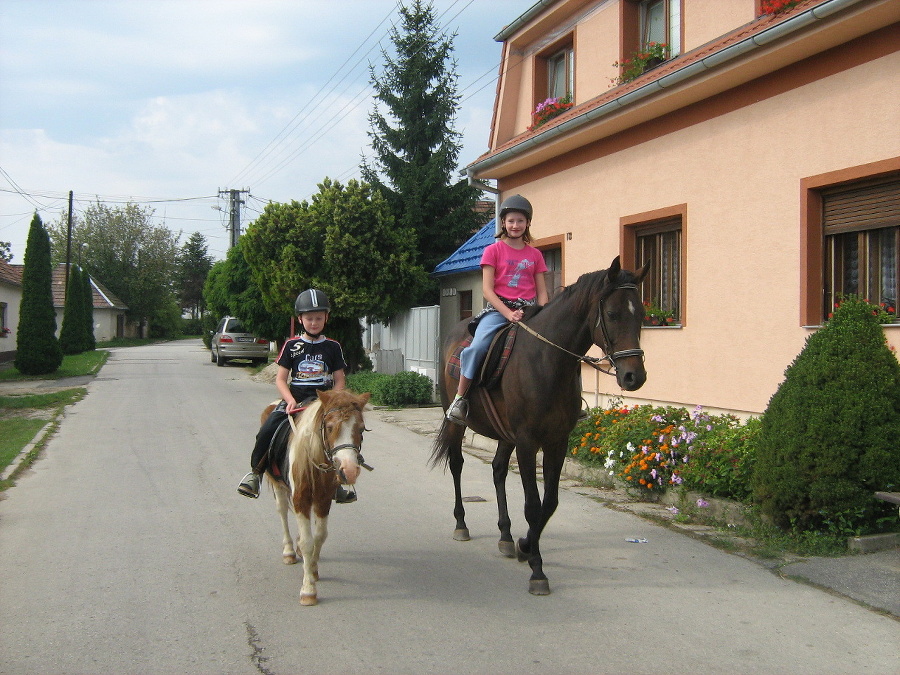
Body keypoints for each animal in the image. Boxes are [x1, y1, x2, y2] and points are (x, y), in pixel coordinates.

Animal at [430, 258, 648, 596]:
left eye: (641, 314)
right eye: (612, 314)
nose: (634, 376)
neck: (547, 361)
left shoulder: (557, 441)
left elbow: (550, 503)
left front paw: (524, 545)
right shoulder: (528, 441)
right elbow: (533, 504)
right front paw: (537, 569)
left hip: (505, 433)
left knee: (498, 469)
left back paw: (506, 537)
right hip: (456, 422)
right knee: (456, 464)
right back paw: (461, 524)